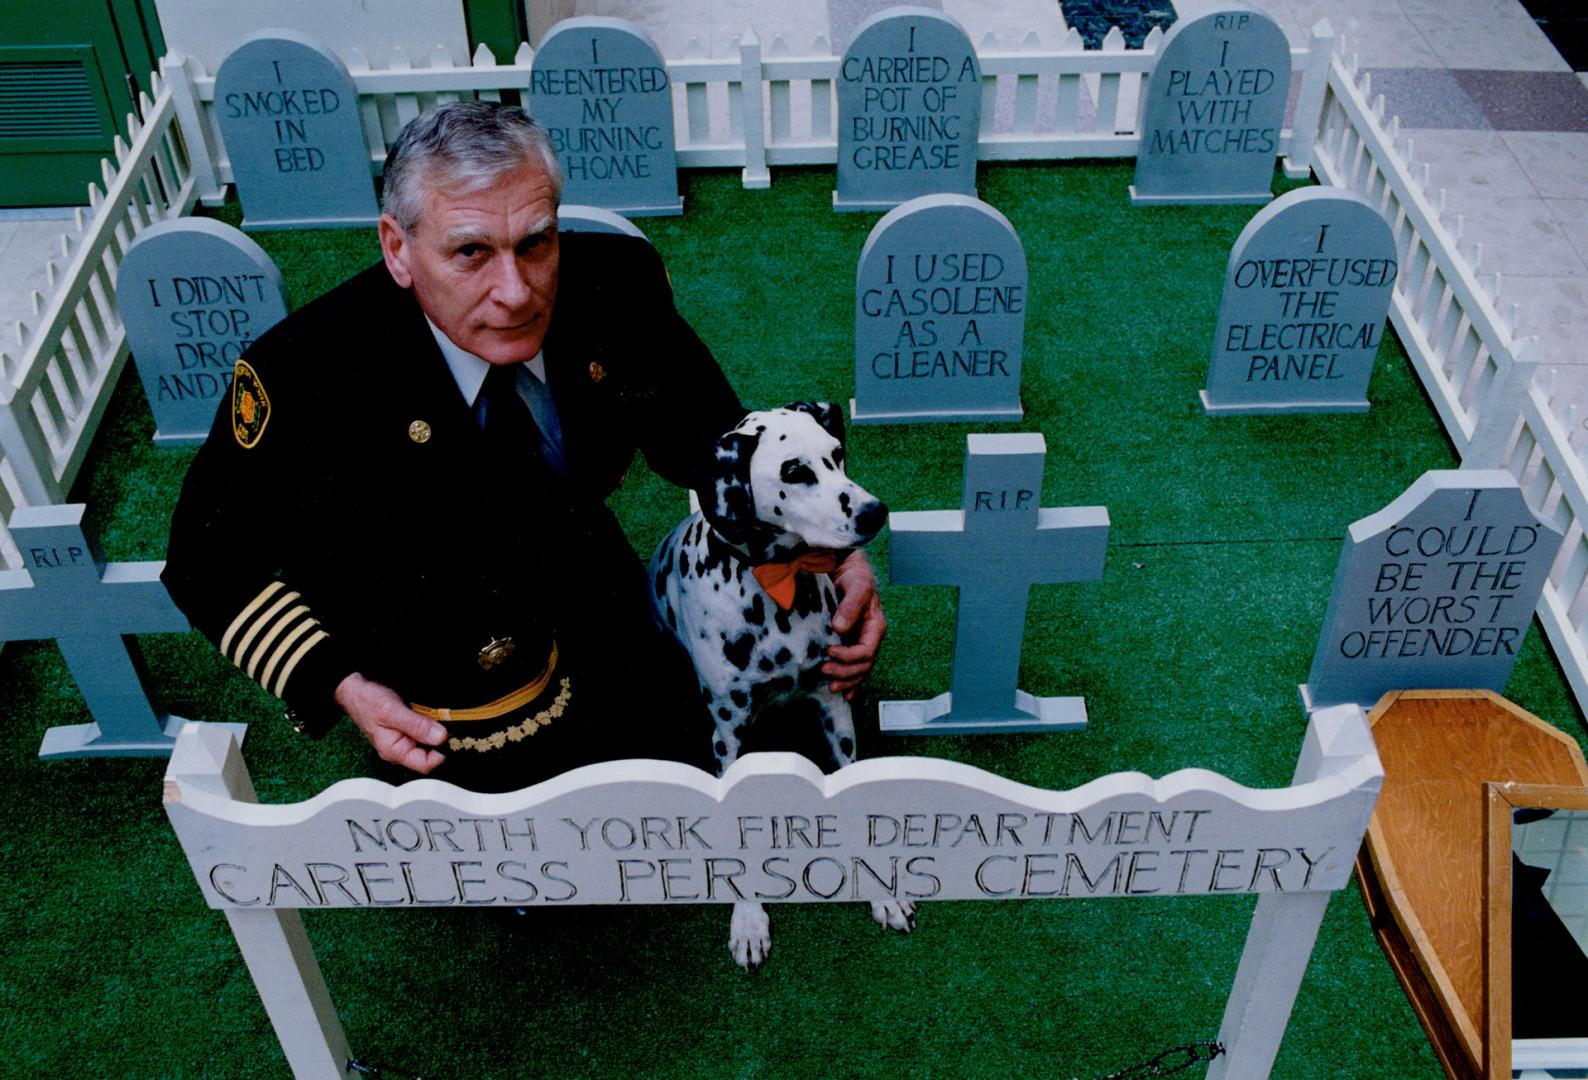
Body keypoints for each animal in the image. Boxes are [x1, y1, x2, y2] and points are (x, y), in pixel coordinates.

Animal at [647, 403, 921, 972]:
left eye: (837, 453)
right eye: (795, 472)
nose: (874, 512)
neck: (775, 589)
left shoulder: (833, 707)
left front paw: (882, 891)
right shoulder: (728, 735)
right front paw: (748, 920)